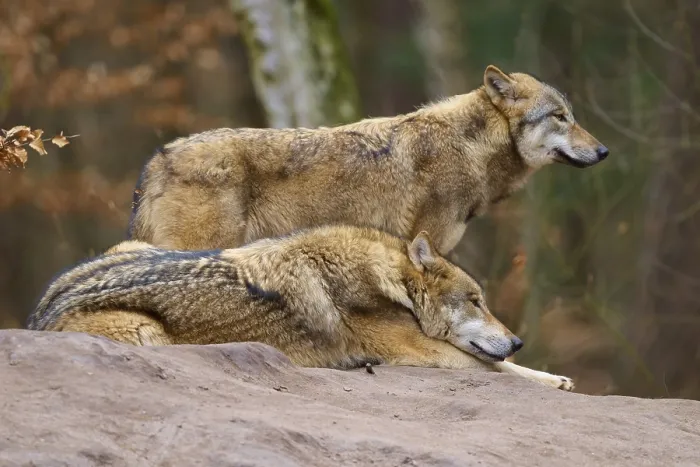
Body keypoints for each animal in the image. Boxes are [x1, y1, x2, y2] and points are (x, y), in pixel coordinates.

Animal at [27, 225, 573, 391]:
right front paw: (554, 381)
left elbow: (500, 366)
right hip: (148, 334)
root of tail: (38, 314)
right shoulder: (422, 353)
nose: (518, 339)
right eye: (476, 301)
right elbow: (499, 370)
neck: (389, 283)